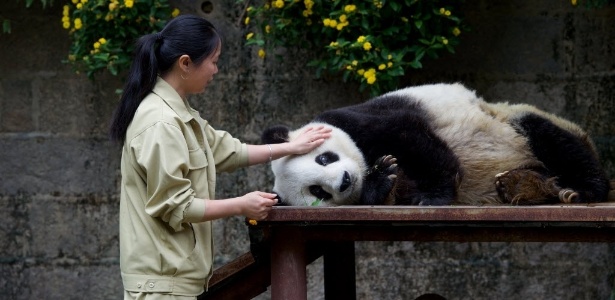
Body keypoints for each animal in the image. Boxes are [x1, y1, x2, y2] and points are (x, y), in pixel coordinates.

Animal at [262, 82, 612, 206]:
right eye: (317, 192)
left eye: (323, 159)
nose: (346, 181)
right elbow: (389, 192)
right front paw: (382, 178)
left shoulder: (362, 119)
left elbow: (411, 136)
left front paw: (434, 195)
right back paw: (521, 185)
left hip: (509, 122)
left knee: (551, 136)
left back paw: (582, 189)